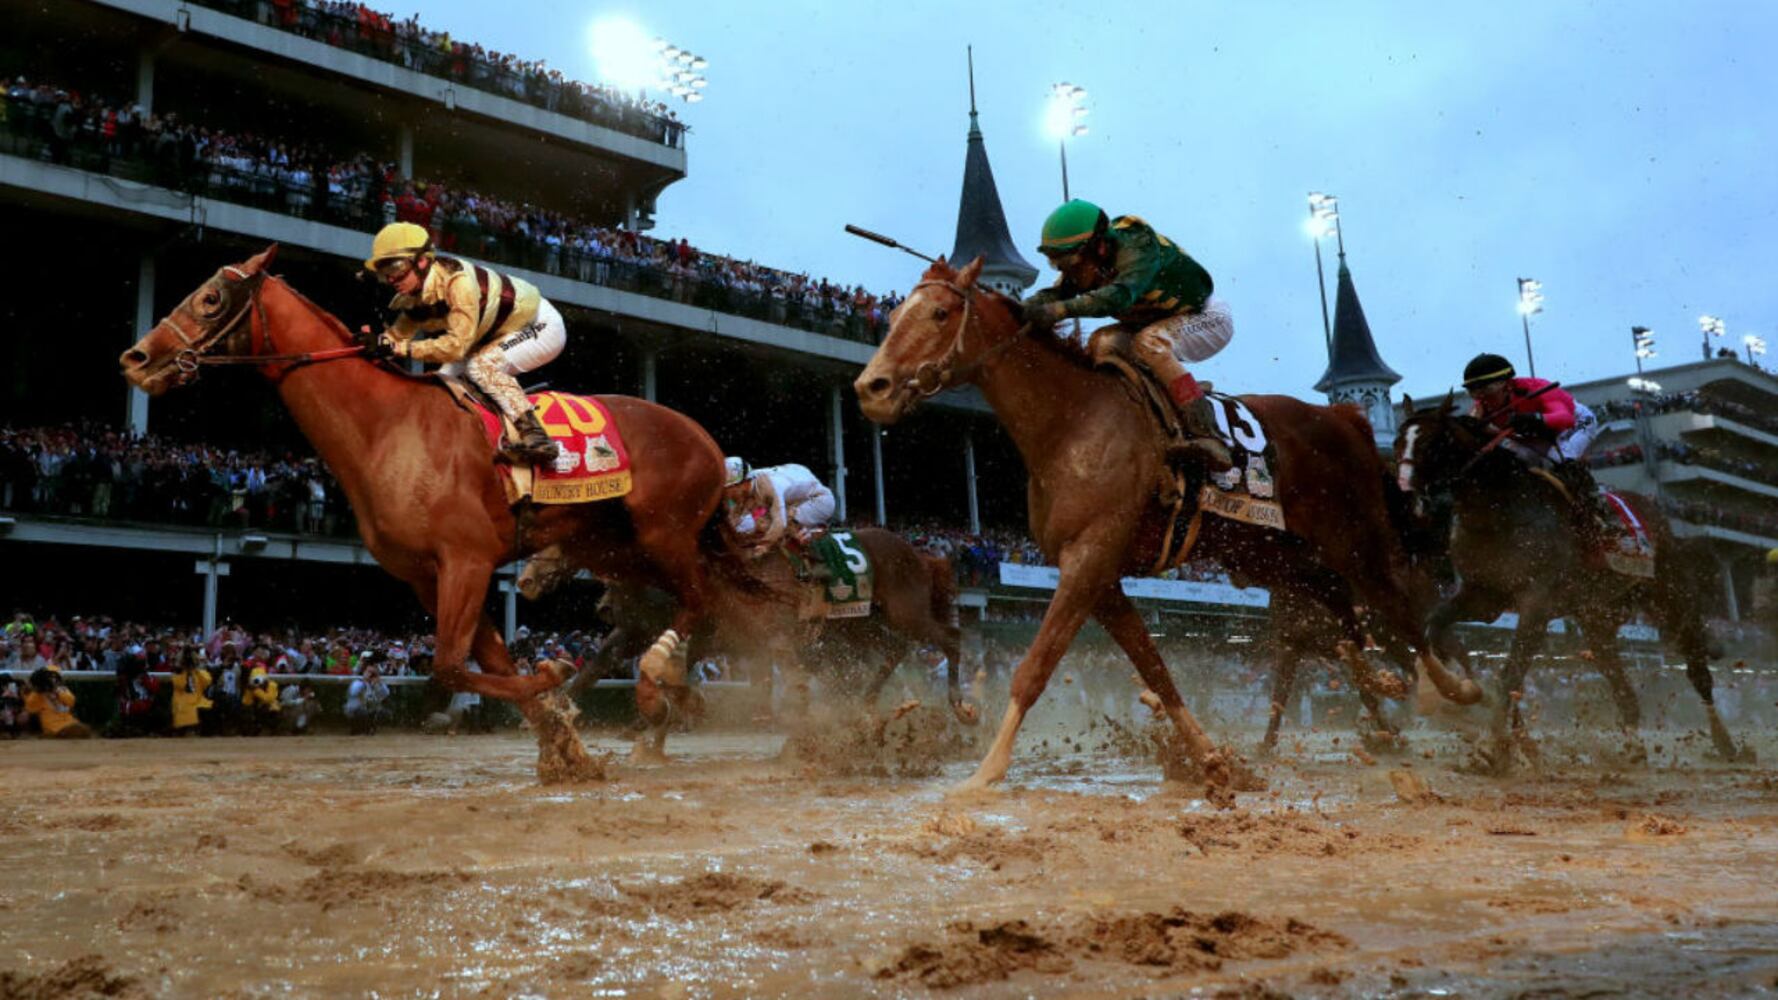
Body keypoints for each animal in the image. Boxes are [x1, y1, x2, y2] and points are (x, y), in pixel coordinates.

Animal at [119, 246, 763, 780]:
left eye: (210, 299)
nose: (136, 357)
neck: (387, 430)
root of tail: (708, 442)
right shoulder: (427, 576)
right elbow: (486, 661)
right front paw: (563, 742)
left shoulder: (467, 561)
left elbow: (448, 668)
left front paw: (553, 682)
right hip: (620, 549)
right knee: (701, 607)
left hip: (665, 534)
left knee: (699, 601)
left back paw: (658, 684)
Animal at [853, 256, 1480, 794]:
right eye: (895, 316)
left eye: (939, 313)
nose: (870, 387)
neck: (1073, 422)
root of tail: (1346, 418)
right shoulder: (1100, 576)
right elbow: (1155, 670)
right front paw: (1211, 758)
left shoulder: (1088, 560)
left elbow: (1037, 665)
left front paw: (985, 772)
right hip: (1268, 554)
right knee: (1336, 602)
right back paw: (1378, 675)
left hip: (1354, 536)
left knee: (1401, 604)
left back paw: (1450, 685)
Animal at [1394, 398, 1750, 770]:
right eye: (1399, 442)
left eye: (1431, 443)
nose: (1407, 494)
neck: (1500, 511)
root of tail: (1656, 513)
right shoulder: (1482, 597)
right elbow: (1434, 630)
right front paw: (1457, 691)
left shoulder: (1536, 604)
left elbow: (1510, 674)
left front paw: (1496, 749)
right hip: (1597, 620)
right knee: (1623, 690)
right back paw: (1634, 749)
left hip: (1670, 597)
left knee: (1697, 669)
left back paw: (1726, 743)